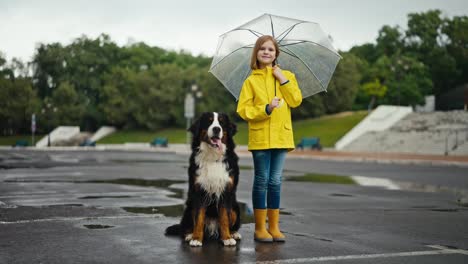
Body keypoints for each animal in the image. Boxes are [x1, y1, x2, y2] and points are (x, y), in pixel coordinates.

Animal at [165, 111, 241, 245]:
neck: (212, 157)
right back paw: (190, 234)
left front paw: (227, 238)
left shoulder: (226, 192)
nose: (216, 129)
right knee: (186, 226)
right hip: (189, 208)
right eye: (209, 121)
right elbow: (199, 218)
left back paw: (233, 233)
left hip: (235, 208)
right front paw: (196, 239)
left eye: (221, 122)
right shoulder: (199, 191)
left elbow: (224, 218)